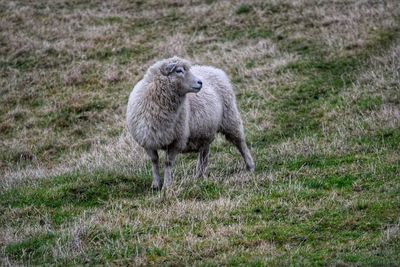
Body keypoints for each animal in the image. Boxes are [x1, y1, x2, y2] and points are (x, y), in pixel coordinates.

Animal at [126, 56, 255, 191]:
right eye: (179, 71)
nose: (200, 83)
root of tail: (214, 69)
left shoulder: (176, 140)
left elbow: (168, 162)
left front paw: (167, 185)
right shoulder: (148, 140)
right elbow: (154, 161)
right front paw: (155, 185)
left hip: (230, 118)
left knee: (240, 142)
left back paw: (250, 166)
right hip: (205, 129)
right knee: (204, 152)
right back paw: (200, 175)